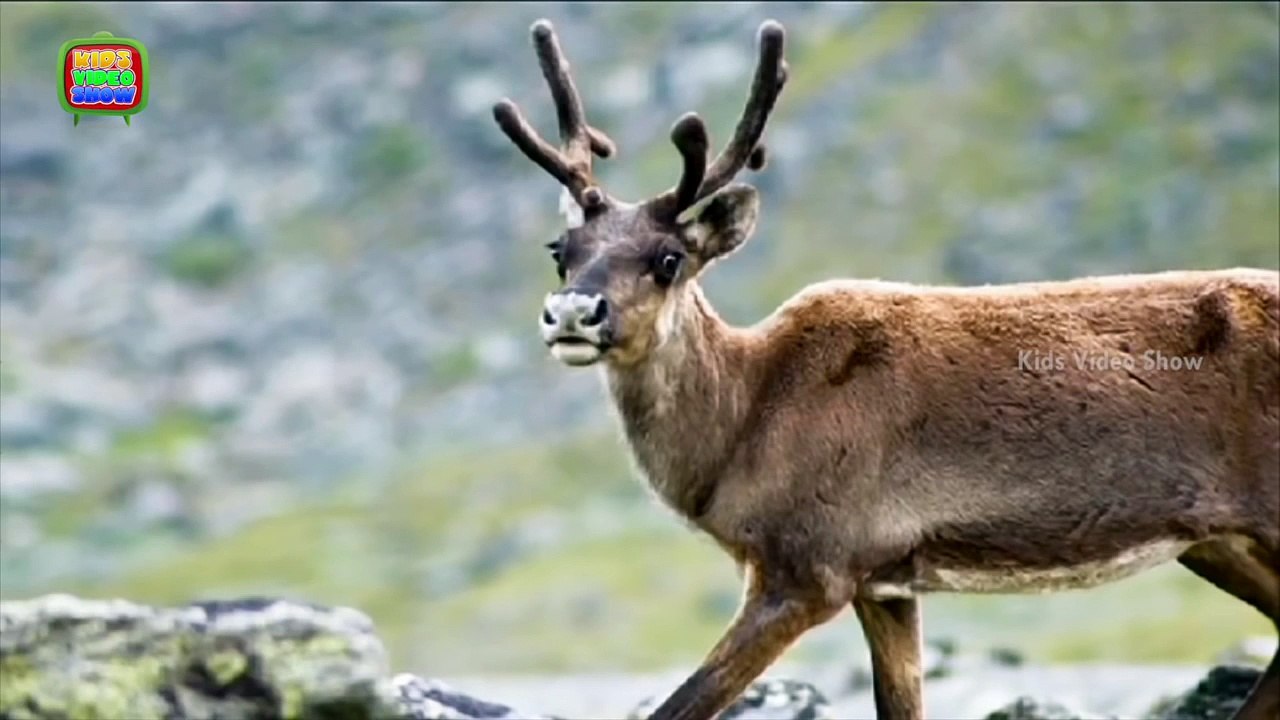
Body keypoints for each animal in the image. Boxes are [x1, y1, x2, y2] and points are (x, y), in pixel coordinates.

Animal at [491, 17, 1280, 720]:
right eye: (561, 250)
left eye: (668, 258)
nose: (572, 312)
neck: (742, 422)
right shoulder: (887, 583)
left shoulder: (809, 568)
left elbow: (681, 706)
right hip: (1219, 540)